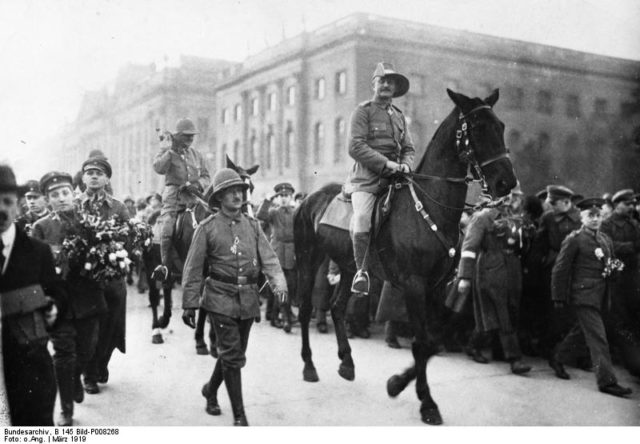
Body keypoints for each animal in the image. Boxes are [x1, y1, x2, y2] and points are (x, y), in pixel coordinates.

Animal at [292, 89, 516, 424]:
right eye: (477, 128)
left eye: (500, 126)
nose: (507, 183)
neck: (428, 207)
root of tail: (311, 198)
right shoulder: (413, 284)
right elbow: (421, 342)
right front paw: (427, 403)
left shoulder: (436, 287)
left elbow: (433, 341)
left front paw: (397, 383)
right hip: (309, 258)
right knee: (307, 309)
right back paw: (309, 366)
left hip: (349, 265)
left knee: (338, 306)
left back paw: (347, 362)